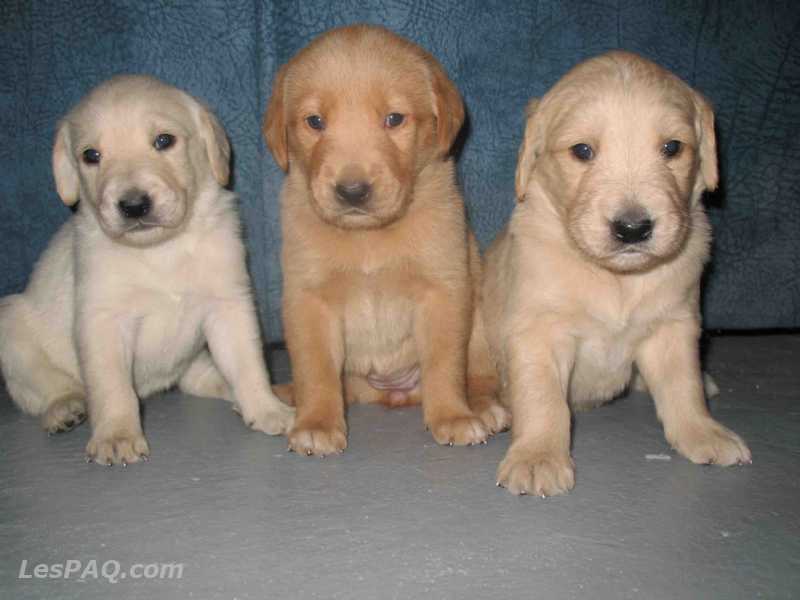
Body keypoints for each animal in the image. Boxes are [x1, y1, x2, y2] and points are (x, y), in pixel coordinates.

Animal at [0, 75, 296, 466]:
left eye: (164, 141)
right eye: (91, 155)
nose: (134, 205)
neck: (161, 250)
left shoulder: (228, 306)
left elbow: (248, 364)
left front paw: (266, 408)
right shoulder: (103, 321)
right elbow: (112, 386)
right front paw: (116, 435)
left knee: (197, 377)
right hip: (11, 325)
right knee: (45, 390)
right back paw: (65, 409)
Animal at [266, 23, 510, 454]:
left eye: (394, 119)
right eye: (314, 121)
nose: (352, 191)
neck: (368, 238)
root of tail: (393, 393)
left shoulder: (443, 291)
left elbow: (444, 365)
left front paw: (452, 416)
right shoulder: (308, 300)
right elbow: (315, 370)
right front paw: (315, 422)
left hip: (479, 325)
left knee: (480, 376)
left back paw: (483, 408)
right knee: (338, 387)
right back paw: (289, 394)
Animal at [484, 51, 752, 494]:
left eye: (672, 147)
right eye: (582, 151)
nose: (632, 229)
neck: (616, 280)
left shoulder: (673, 325)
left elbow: (683, 387)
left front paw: (703, 432)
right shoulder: (538, 332)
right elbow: (543, 399)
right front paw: (538, 457)